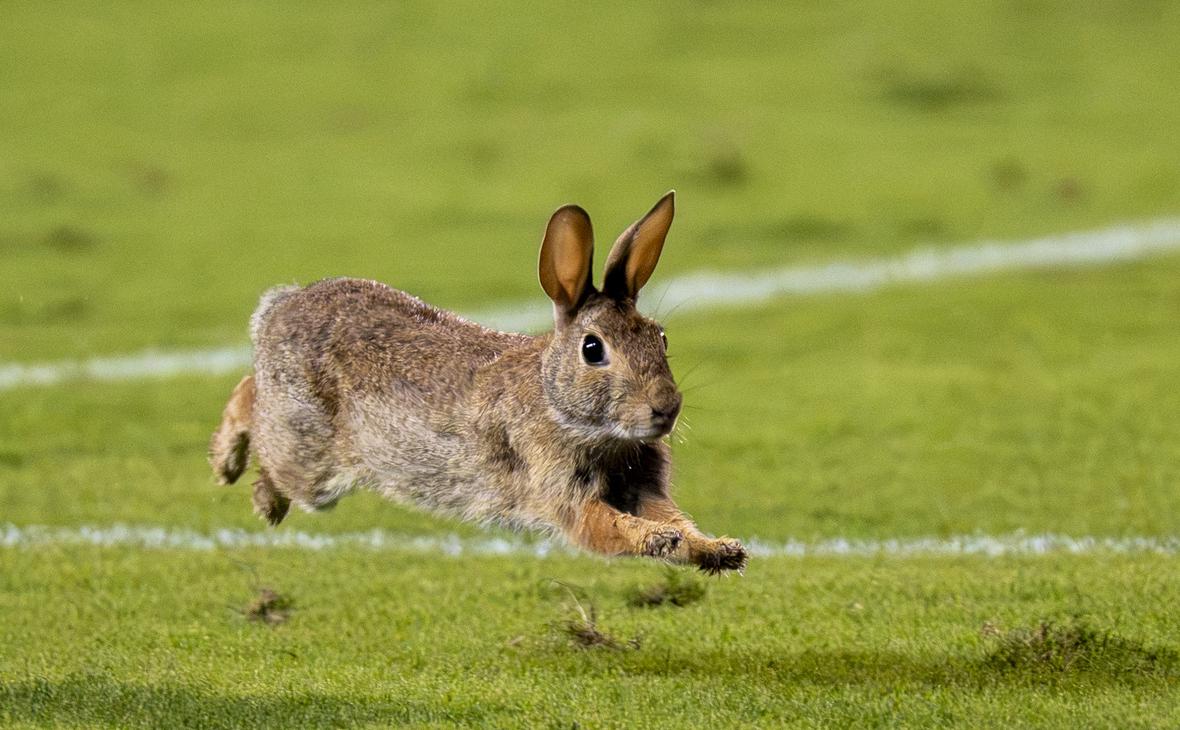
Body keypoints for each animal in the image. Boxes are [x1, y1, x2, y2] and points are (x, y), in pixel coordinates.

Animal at [209, 192, 747, 573]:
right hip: (309, 456)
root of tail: (279, 308)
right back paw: (239, 476)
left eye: (661, 337)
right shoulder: (563, 491)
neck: (559, 405)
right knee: (251, 405)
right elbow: (606, 526)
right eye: (593, 349)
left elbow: (675, 516)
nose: (666, 408)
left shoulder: (642, 484)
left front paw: (718, 550)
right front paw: (656, 539)